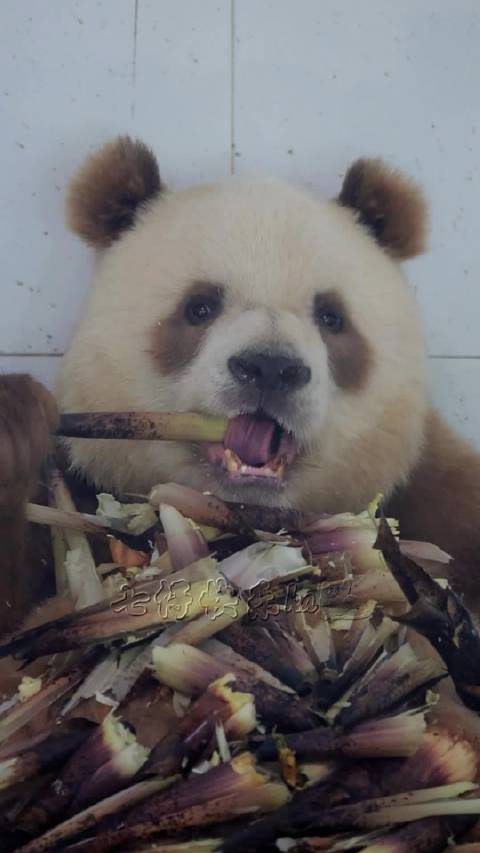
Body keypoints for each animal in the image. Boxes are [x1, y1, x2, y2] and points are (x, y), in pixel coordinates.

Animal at [1, 136, 480, 629]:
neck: (247, 519)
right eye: (199, 307)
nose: (270, 369)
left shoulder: (429, 486)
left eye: (331, 317)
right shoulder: (72, 484)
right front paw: (11, 424)